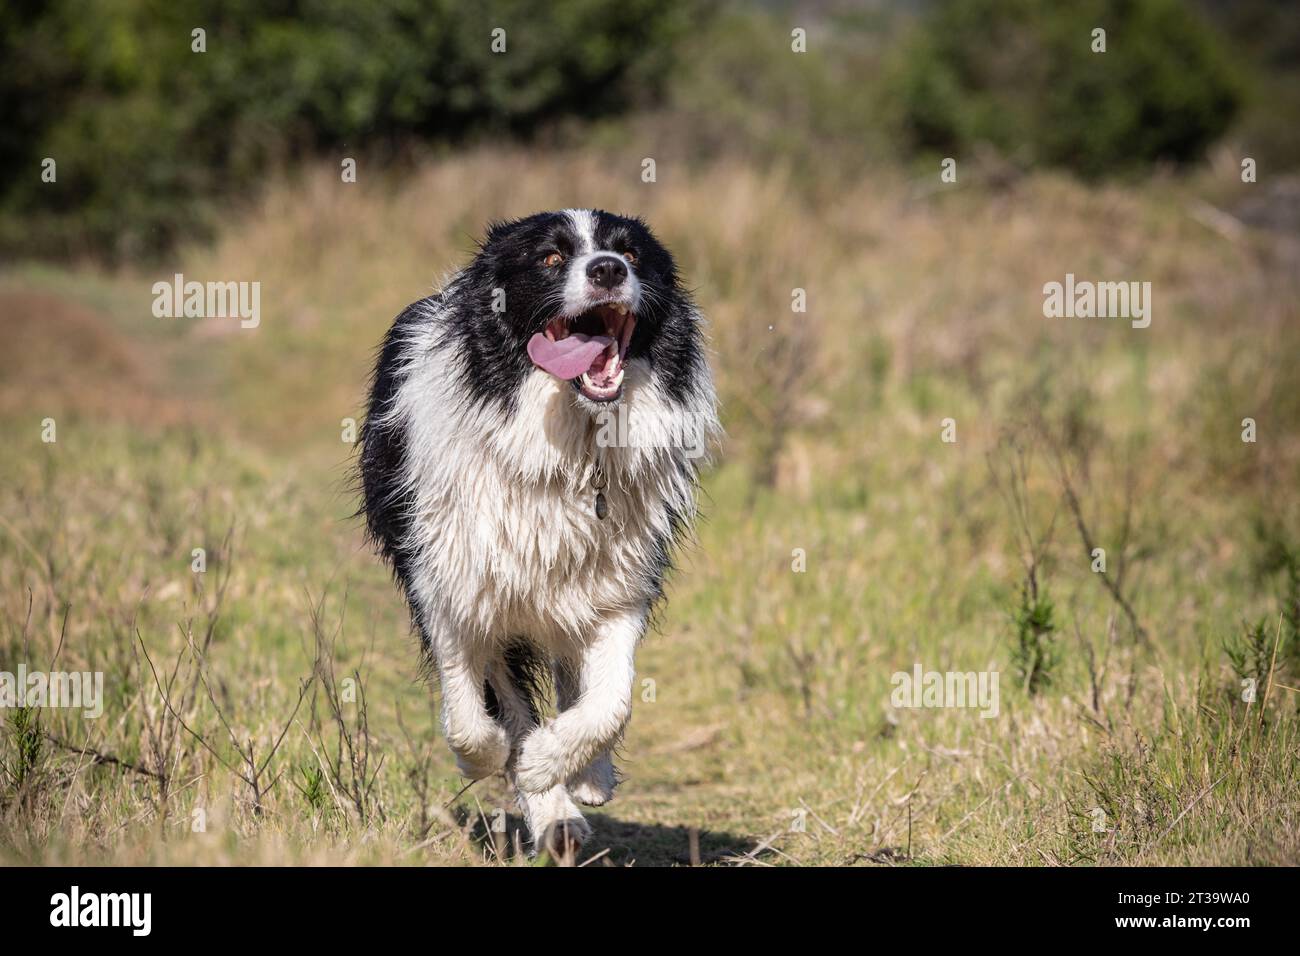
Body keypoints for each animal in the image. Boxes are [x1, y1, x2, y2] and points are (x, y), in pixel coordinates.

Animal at [358, 208, 722, 853]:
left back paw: (585, 781)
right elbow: (478, 714)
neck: (571, 448)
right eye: (551, 258)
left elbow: (610, 701)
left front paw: (557, 764)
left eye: (631, 252)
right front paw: (507, 763)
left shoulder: (620, 586)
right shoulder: (454, 582)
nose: (608, 269)